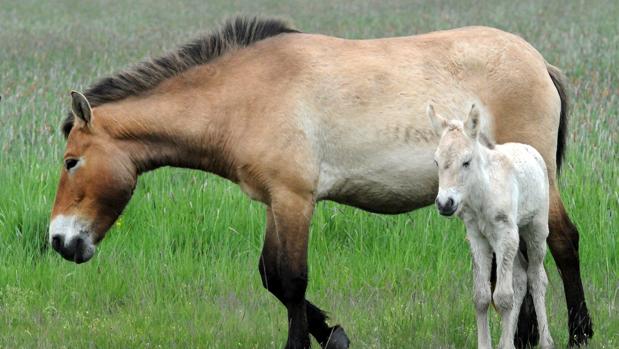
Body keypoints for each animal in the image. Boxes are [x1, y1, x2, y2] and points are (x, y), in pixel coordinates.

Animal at [428, 104, 556, 348]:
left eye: (466, 162)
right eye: (436, 162)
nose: (445, 203)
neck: (482, 194)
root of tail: (530, 150)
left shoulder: (505, 234)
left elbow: (503, 298)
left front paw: (506, 345)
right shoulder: (477, 238)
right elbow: (481, 296)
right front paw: (488, 344)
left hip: (534, 229)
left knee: (537, 278)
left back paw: (546, 341)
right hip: (514, 238)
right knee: (520, 278)